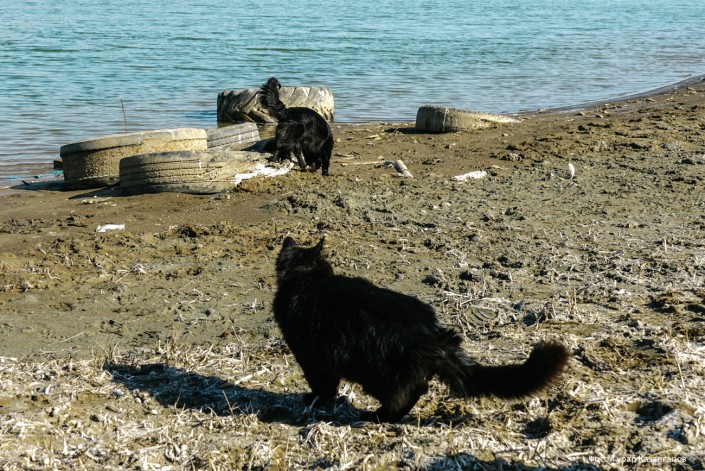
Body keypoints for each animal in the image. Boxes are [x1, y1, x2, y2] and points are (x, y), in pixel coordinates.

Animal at [272, 236, 570, 422]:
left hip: (375, 372)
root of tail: (433, 332)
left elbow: (322, 386)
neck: (308, 275)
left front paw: (315, 401)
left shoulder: (311, 357)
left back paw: (377, 417)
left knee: (406, 395)